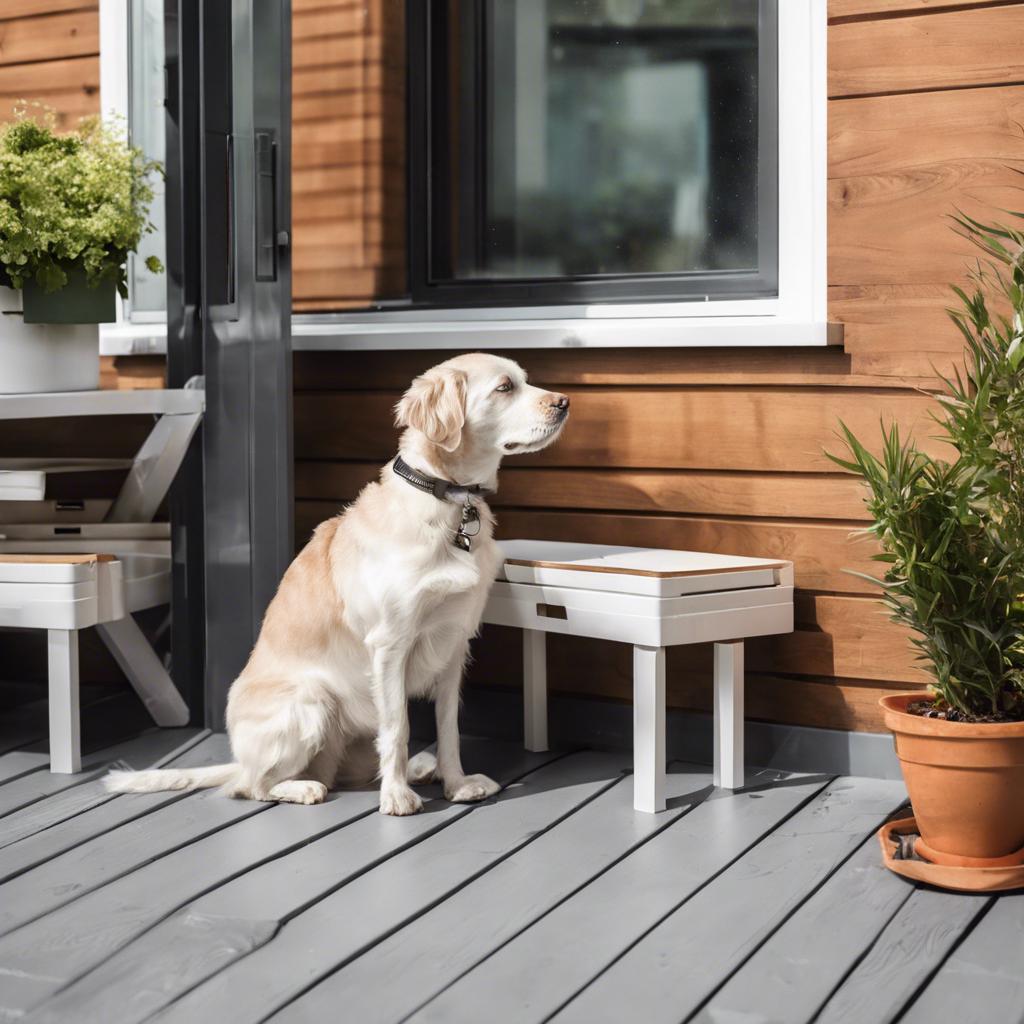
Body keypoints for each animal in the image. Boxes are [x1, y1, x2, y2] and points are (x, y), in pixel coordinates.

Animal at [105, 354, 569, 815]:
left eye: (525, 380)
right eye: (504, 387)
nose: (564, 402)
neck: (447, 502)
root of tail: (238, 759)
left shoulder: (454, 645)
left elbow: (448, 727)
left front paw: (455, 783)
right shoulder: (390, 644)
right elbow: (398, 726)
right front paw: (397, 797)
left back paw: (418, 769)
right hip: (312, 699)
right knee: (250, 785)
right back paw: (305, 787)